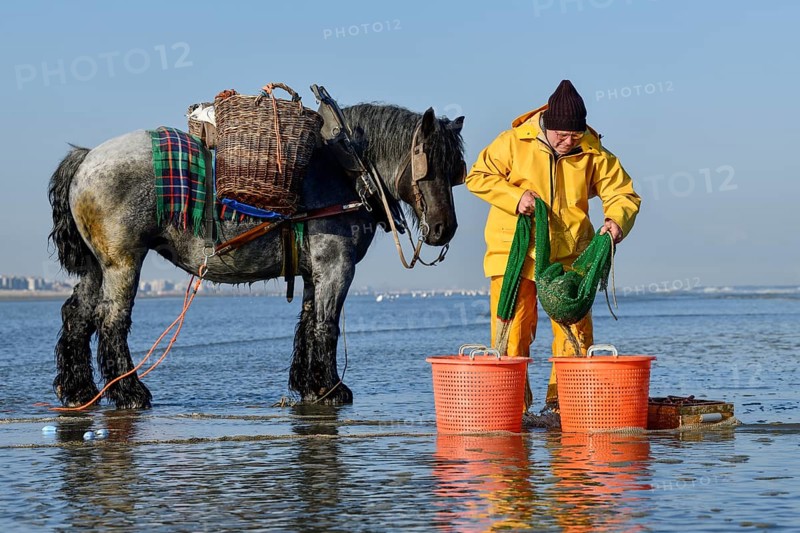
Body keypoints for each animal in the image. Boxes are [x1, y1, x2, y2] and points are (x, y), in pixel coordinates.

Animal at [48, 103, 465, 409]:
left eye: (455, 171)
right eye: (428, 164)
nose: (444, 228)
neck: (346, 169)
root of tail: (86, 158)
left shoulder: (315, 270)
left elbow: (308, 324)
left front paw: (309, 385)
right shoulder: (336, 266)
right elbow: (327, 326)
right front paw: (330, 388)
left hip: (97, 266)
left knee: (77, 316)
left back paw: (79, 390)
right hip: (123, 261)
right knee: (111, 322)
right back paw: (129, 392)